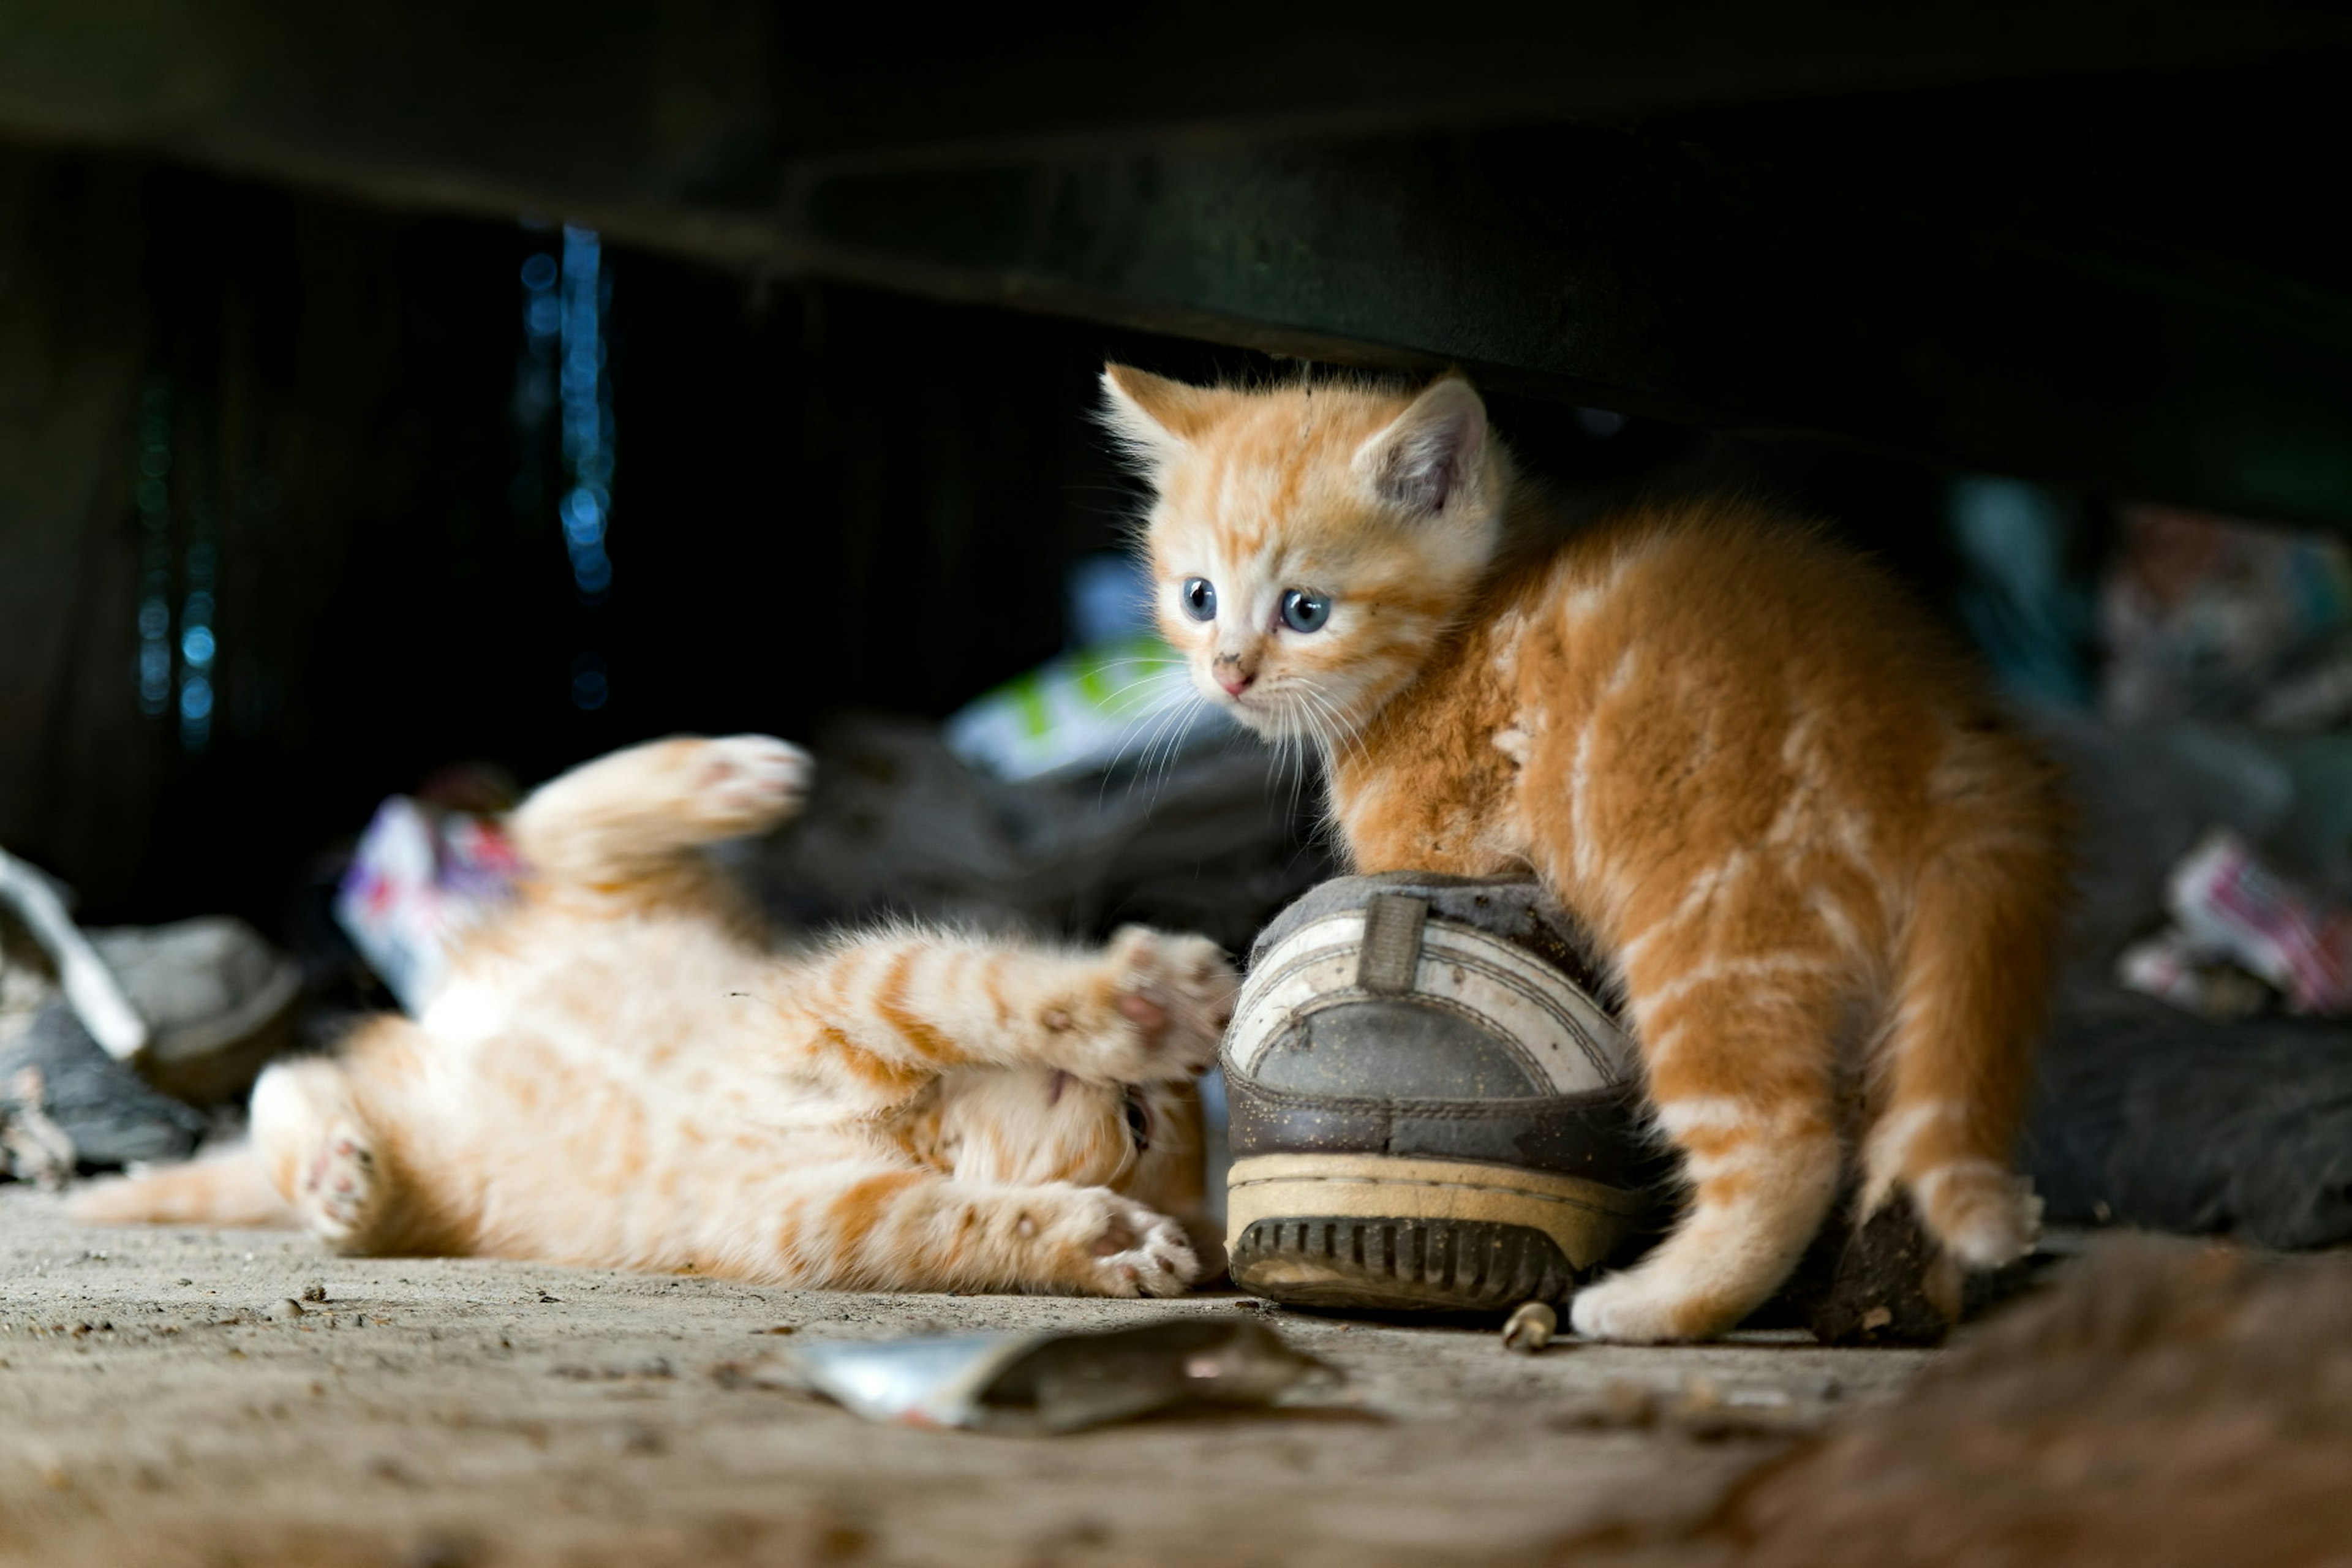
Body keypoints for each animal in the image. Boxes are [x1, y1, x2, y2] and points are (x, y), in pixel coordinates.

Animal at [78, 738, 1232, 1297]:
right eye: (1143, 1119)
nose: (1131, 1099)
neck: (906, 1124)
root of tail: (443, 1022)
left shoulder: (828, 1216)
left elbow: (961, 1225)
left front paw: (1118, 1245)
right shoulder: (836, 998)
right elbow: (973, 987)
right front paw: (1149, 1005)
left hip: (429, 1163)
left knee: (297, 1090)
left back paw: (337, 1174)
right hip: (618, 896)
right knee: (551, 819)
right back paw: (736, 772)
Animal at [1110, 364, 2070, 1335]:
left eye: (1306, 610)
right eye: (1198, 597)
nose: (1230, 670)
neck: (1460, 634)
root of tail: (1946, 739)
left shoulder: (1450, 849)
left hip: (1714, 933)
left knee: (1786, 1145)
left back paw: (1659, 1302)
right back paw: (1900, 1292)